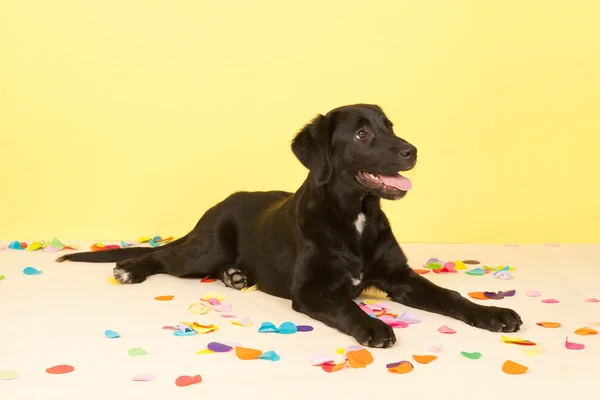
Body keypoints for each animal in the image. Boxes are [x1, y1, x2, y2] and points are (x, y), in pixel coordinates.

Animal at [58, 105, 524, 346]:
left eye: (390, 126)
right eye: (361, 135)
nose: (412, 150)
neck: (354, 215)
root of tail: (217, 205)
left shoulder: (400, 277)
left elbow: (449, 295)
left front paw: (492, 314)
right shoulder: (311, 291)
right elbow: (347, 306)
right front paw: (375, 327)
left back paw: (236, 275)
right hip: (205, 248)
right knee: (163, 254)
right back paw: (131, 269)